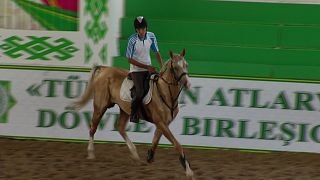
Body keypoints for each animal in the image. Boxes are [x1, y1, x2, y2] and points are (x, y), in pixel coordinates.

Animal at [73, 48, 195, 179]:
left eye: (186, 65)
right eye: (176, 67)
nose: (188, 84)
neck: (164, 92)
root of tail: (104, 69)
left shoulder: (163, 123)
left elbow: (155, 140)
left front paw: (149, 157)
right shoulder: (160, 122)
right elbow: (177, 144)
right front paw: (189, 171)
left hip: (125, 109)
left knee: (120, 127)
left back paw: (135, 155)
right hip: (100, 106)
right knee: (93, 127)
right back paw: (91, 153)